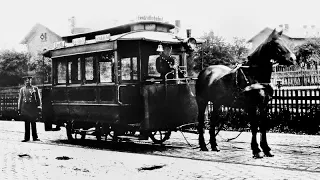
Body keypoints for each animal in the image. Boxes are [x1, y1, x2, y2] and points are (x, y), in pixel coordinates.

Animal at [196, 28, 296, 158]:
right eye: (277, 45)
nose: (293, 58)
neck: (255, 75)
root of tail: (204, 71)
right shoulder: (251, 106)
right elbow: (254, 126)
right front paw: (256, 150)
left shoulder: (264, 106)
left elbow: (263, 126)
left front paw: (266, 149)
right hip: (202, 102)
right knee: (201, 122)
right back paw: (203, 145)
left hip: (217, 103)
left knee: (213, 122)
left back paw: (214, 146)